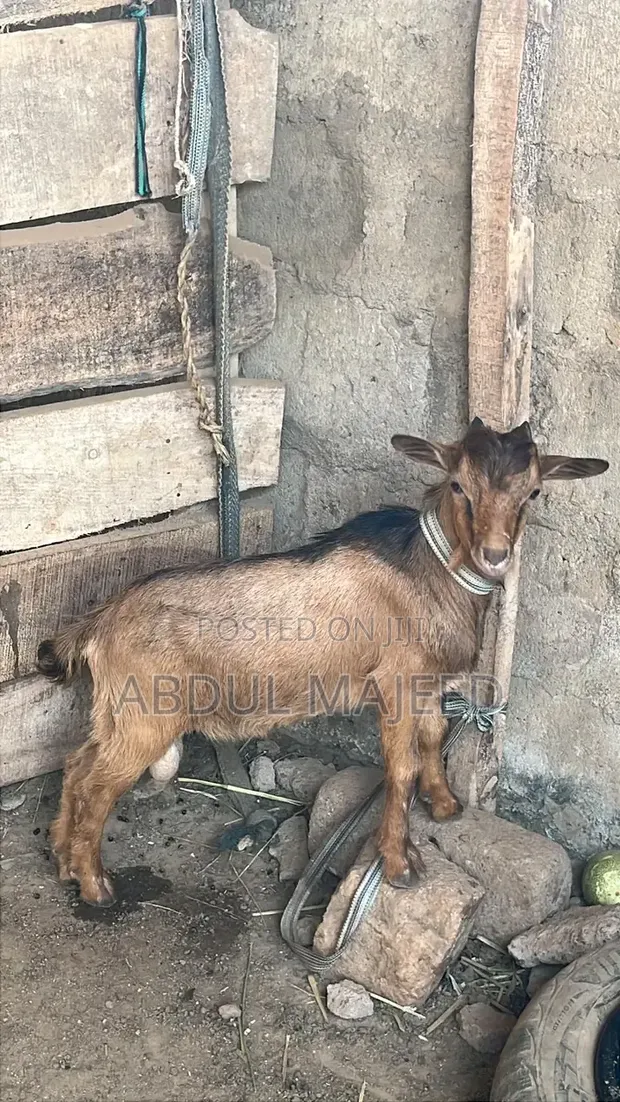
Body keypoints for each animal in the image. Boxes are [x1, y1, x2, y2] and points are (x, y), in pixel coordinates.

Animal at [38, 418, 608, 906]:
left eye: (533, 492)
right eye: (458, 486)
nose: (495, 555)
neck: (429, 570)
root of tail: (100, 622)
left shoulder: (425, 682)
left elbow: (432, 739)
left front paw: (446, 806)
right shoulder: (396, 683)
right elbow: (401, 767)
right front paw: (399, 864)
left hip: (115, 710)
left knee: (77, 764)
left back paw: (64, 862)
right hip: (147, 714)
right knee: (97, 783)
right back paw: (95, 885)